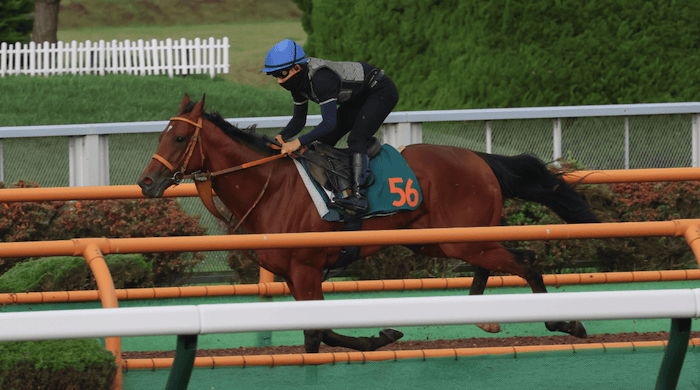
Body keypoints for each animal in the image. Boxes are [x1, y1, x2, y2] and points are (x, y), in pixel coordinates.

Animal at [137, 95, 596, 354]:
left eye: (179, 139)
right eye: (160, 136)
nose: (146, 182)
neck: (272, 188)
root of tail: (479, 159)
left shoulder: (306, 269)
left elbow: (315, 335)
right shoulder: (292, 275)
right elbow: (323, 332)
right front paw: (381, 337)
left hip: (463, 240)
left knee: (526, 260)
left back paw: (564, 322)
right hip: (439, 242)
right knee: (504, 259)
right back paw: (486, 317)